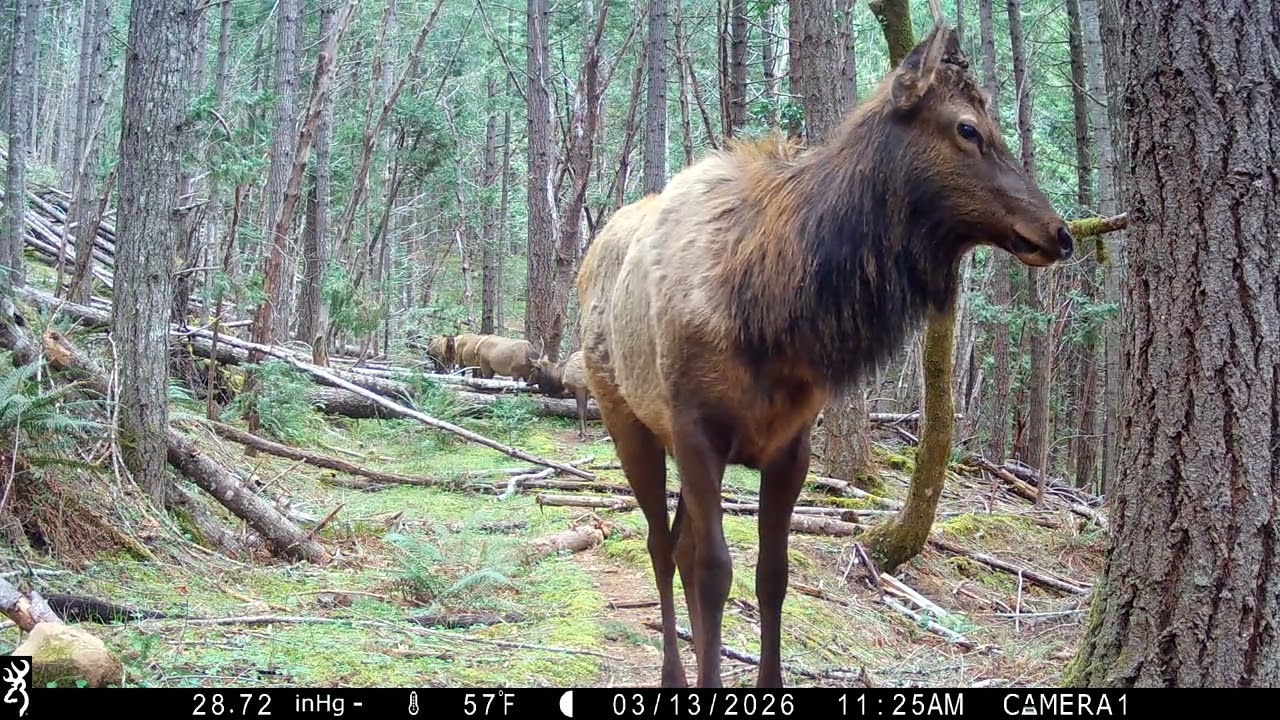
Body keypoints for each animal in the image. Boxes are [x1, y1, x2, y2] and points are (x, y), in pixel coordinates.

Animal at [575, 24, 1072, 689]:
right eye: (968, 128)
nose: (1060, 233)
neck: (774, 309)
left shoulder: (792, 446)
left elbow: (772, 575)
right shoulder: (697, 428)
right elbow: (715, 571)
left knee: (678, 543)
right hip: (629, 419)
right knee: (660, 543)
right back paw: (675, 676)